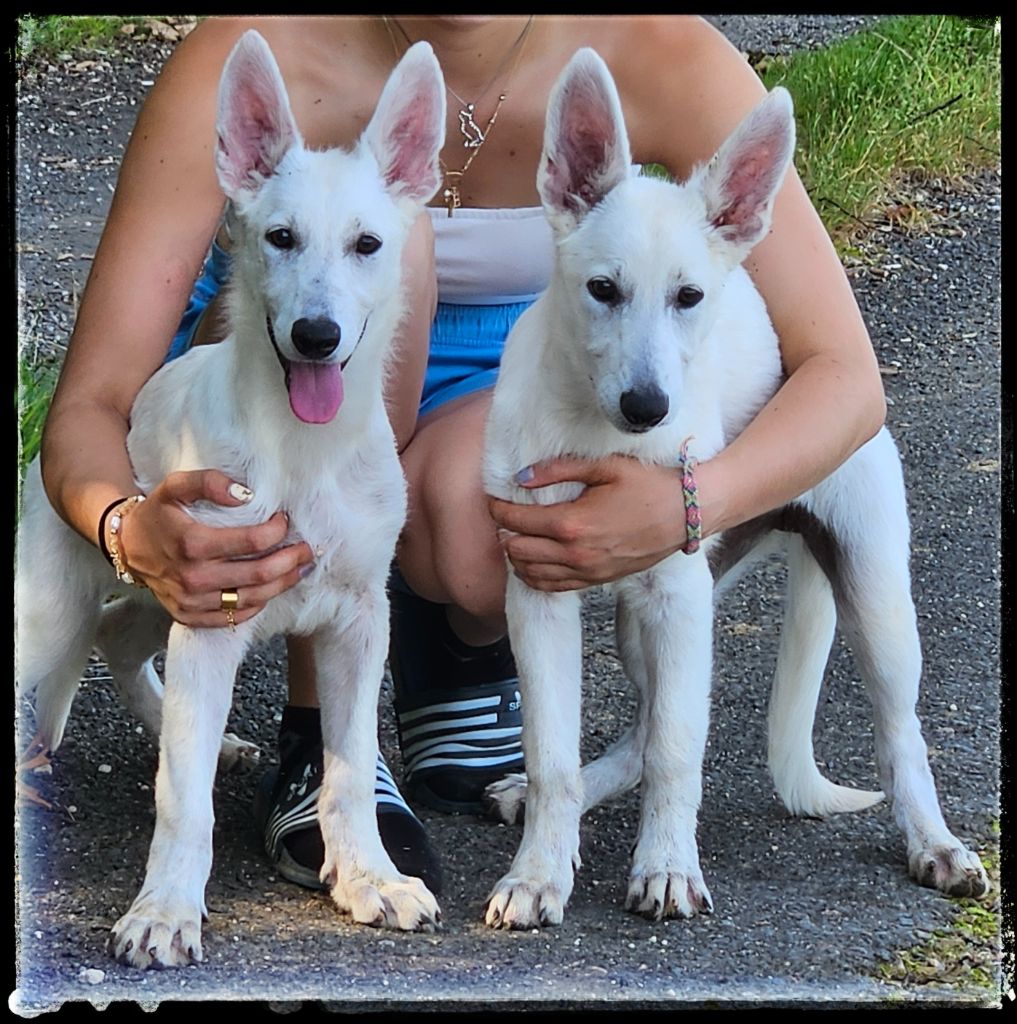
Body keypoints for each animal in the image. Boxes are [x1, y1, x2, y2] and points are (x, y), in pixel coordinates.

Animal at [15, 28, 444, 962]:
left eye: (367, 244)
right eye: (279, 237)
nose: (316, 335)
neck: (303, 449)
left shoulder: (356, 622)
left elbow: (348, 772)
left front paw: (369, 878)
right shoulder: (209, 622)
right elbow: (183, 800)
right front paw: (165, 909)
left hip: (154, 601)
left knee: (116, 632)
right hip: (53, 614)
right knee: (88, 640)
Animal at [479, 48, 987, 929]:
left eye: (688, 297)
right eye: (602, 290)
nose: (647, 408)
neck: (593, 430)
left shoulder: (676, 598)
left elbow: (680, 750)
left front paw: (665, 868)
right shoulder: (538, 593)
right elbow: (555, 754)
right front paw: (540, 872)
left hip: (870, 596)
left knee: (899, 737)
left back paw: (934, 843)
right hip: (644, 622)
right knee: (637, 733)